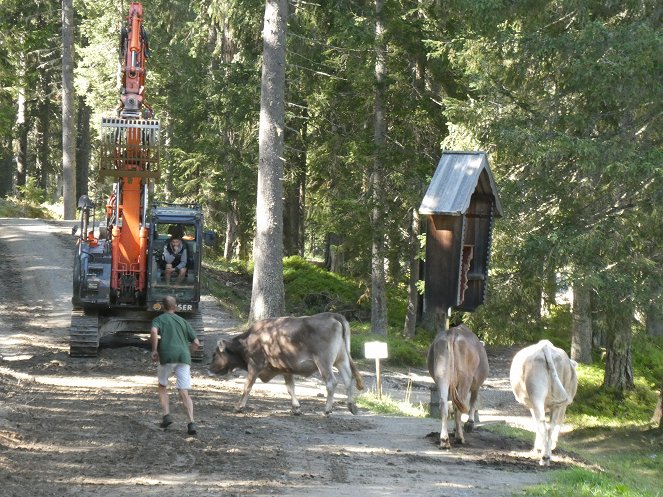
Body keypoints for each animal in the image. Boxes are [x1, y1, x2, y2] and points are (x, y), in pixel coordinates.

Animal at [209, 310, 366, 414]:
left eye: (214, 354)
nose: (209, 369)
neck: (249, 341)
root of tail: (331, 315)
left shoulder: (255, 364)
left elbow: (247, 386)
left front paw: (238, 407)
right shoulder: (286, 369)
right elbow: (290, 388)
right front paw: (296, 408)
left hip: (324, 361)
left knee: (332, 382)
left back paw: (327, 410)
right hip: (342, 359)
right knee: (348, 378)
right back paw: (351, 406)